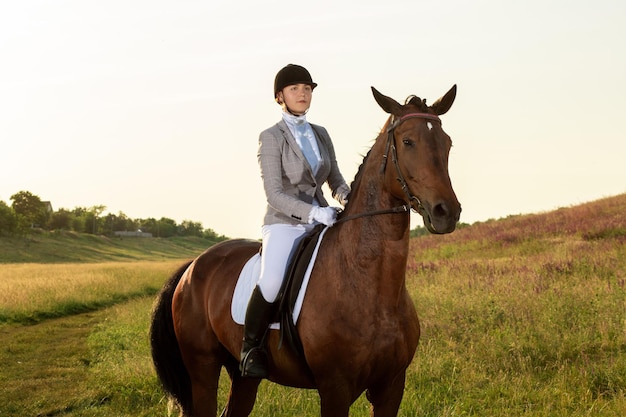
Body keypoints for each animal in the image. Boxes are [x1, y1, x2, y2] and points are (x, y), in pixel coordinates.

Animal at [149, 83, 460, 414]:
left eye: (447, 142)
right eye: (407, 141)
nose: (446, 212)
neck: (370, 286)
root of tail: (192, 266)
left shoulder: (392, 386)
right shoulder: (335, 388)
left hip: (243, 376)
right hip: (202, 369)